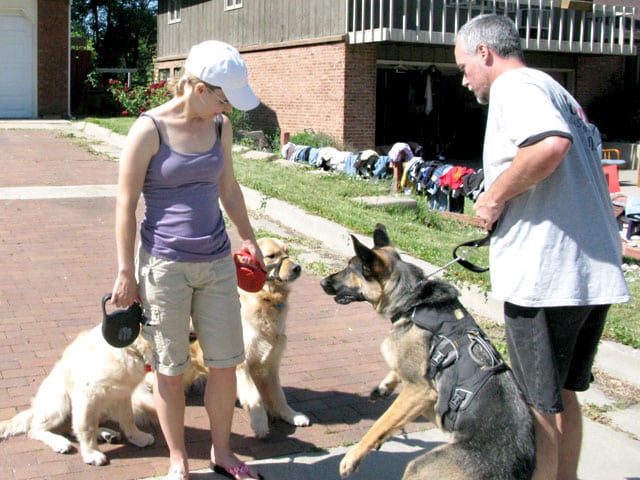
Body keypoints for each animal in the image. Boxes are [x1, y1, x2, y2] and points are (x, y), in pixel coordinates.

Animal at [0, 324, 155, 464]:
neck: (131, 349)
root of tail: (35, 408)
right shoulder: (88, 394)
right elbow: (87, 426)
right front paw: (91, 453)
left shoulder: (122, 394)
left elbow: (128, 418)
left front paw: (138, 437)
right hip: (59, 401)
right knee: (36, 429)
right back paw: (60, 442)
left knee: (72, 428)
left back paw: (107, 433)